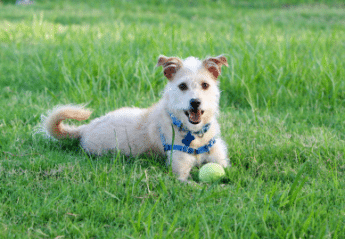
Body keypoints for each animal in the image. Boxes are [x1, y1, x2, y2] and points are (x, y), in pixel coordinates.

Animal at [39, 55, 228, 182]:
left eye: (205, 85)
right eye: (182, 86)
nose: (195, 102)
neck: (196, 135)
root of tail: (86, 127)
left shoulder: (222, 161)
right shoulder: (180, 173)